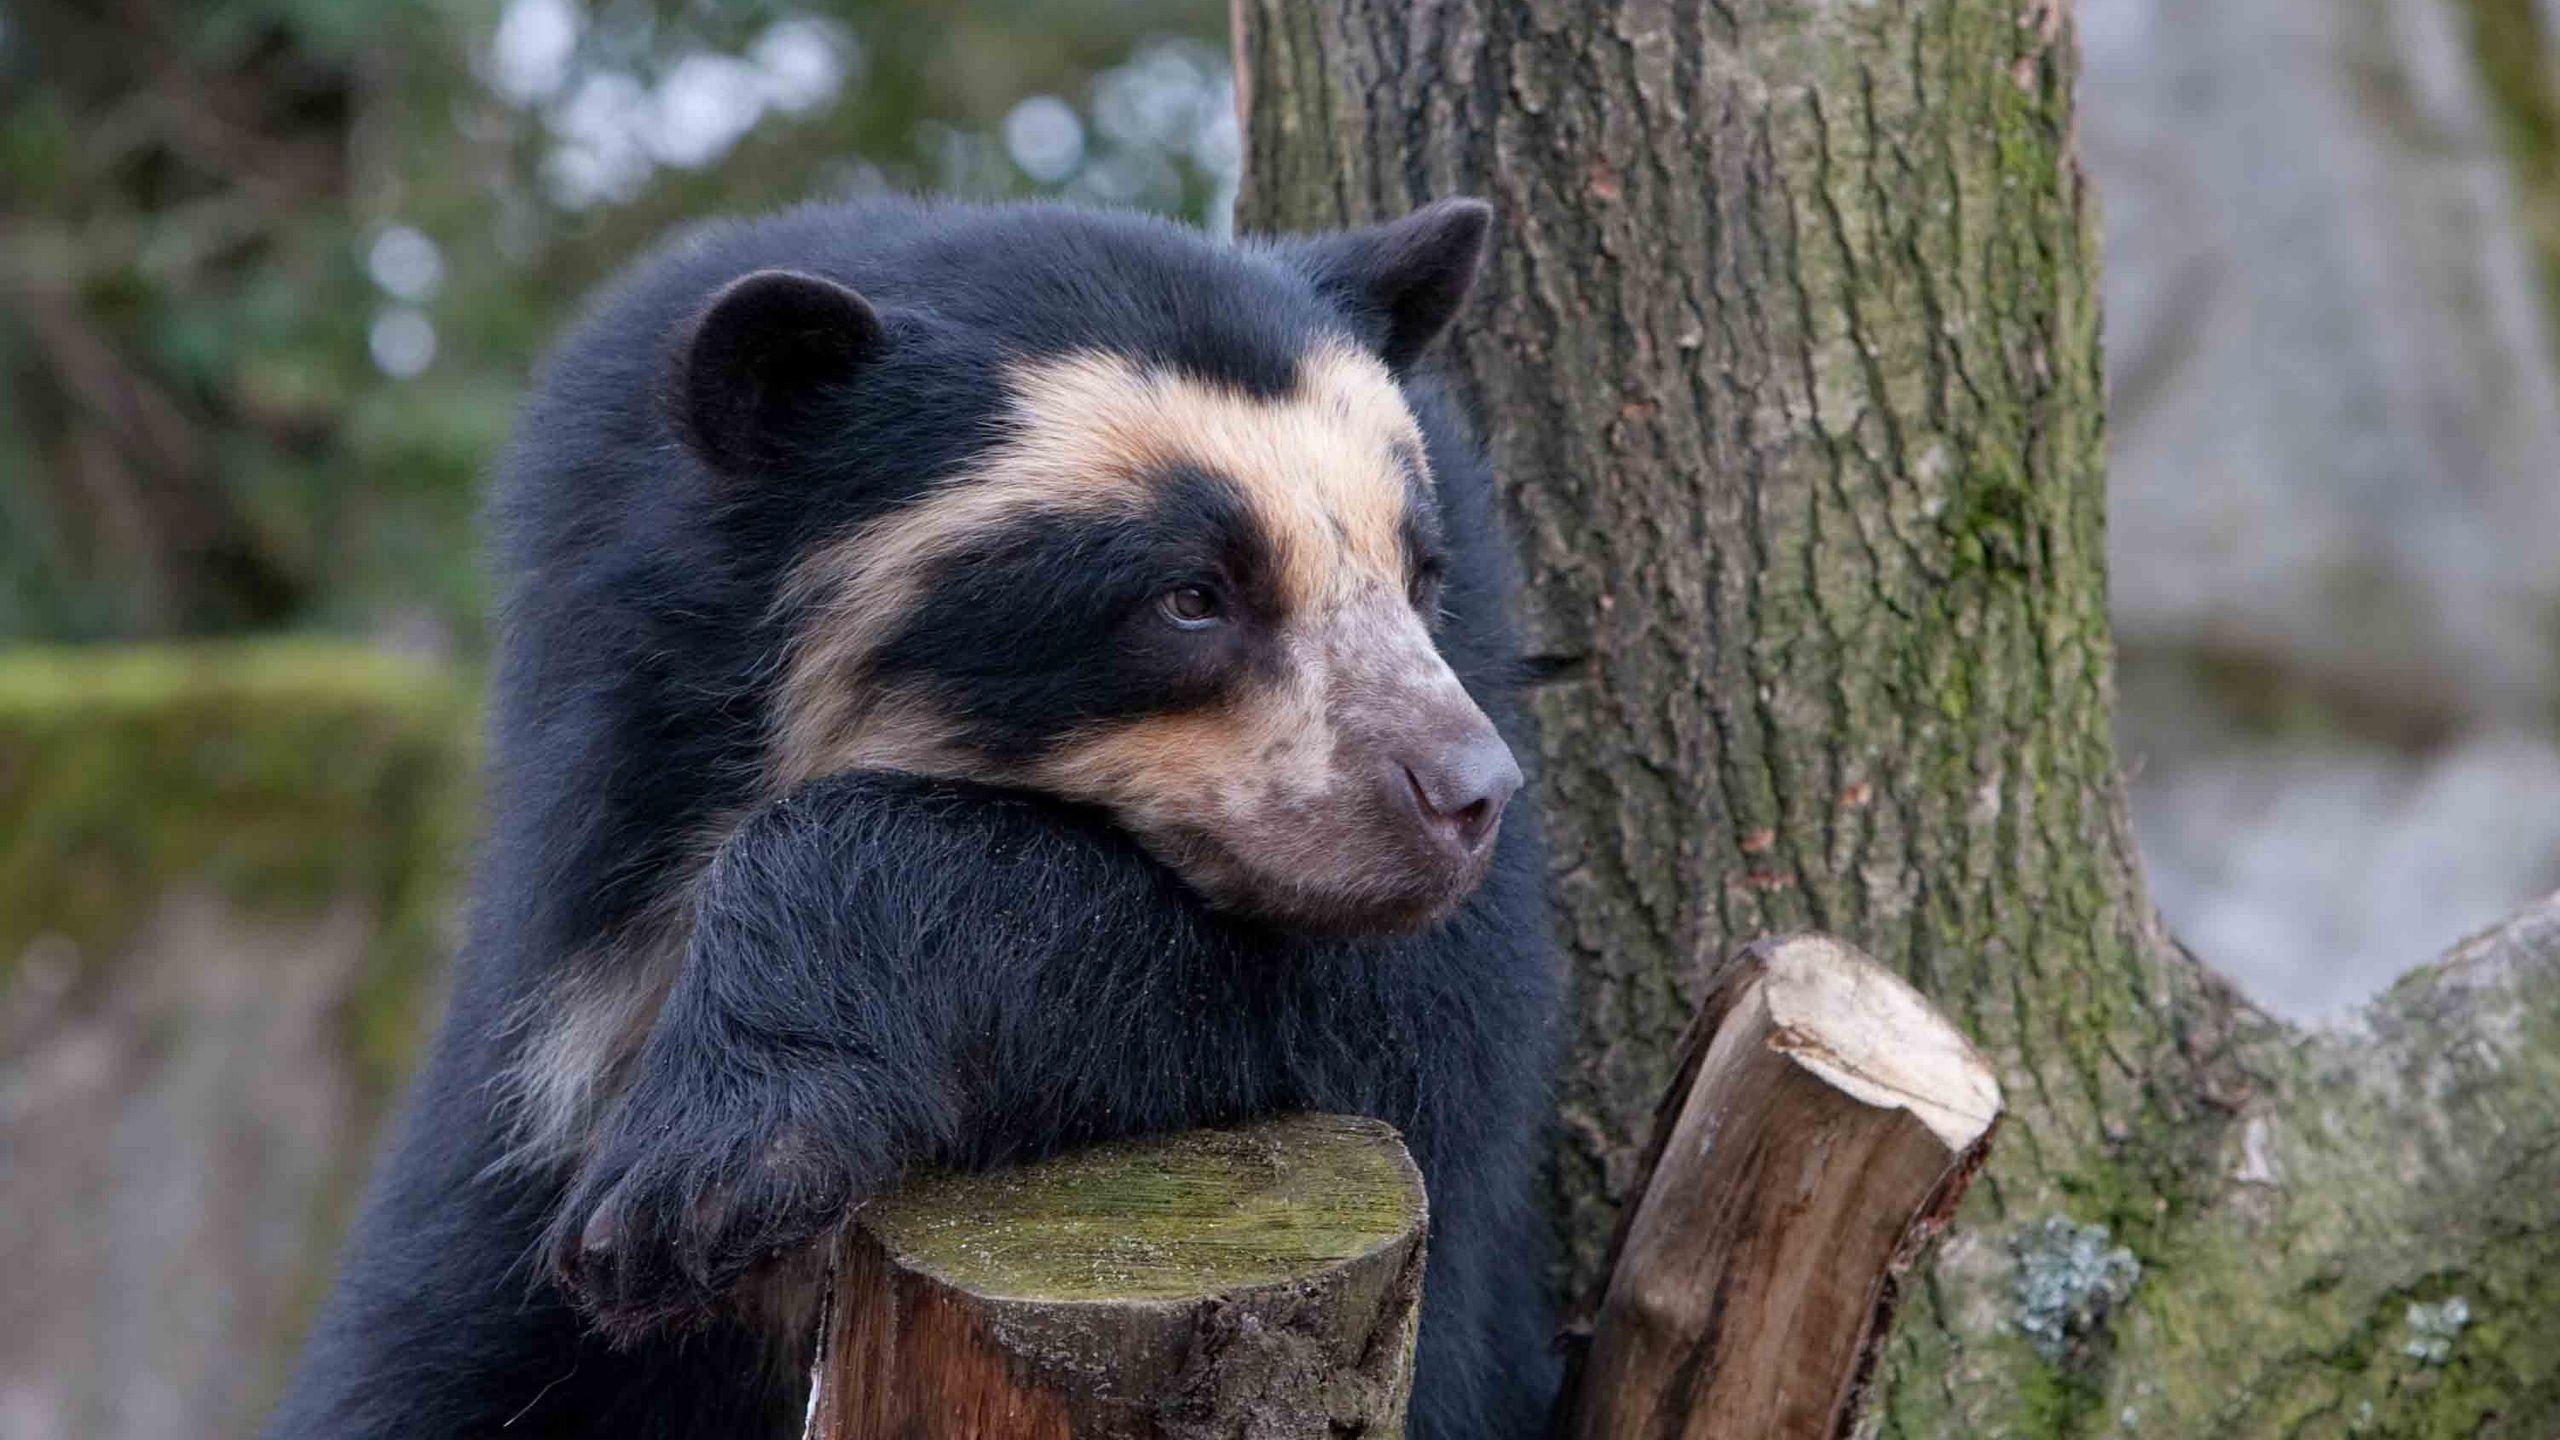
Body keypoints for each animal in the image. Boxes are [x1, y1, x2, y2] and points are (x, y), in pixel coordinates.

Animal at [269, 196, 1561, 1439]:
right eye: (1191, 596)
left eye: (1419, 574)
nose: (1466, 795)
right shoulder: (563, 956)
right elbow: (439, 1347)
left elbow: (1405, 1017)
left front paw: (692, 1180)